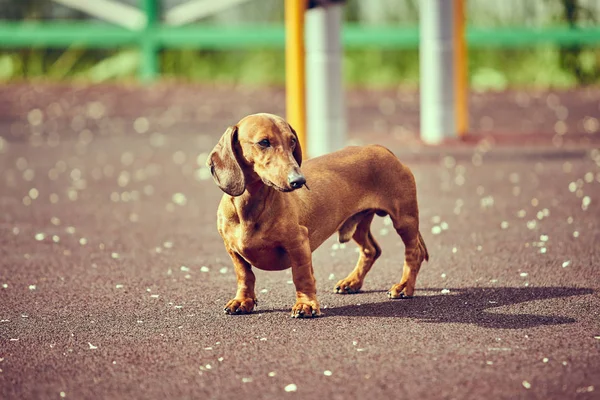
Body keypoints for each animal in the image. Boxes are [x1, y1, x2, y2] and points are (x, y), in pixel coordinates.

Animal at [206, 113, 426, 318]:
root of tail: (383, 149)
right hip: (357, 224)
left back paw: (403, 287)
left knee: (413, 253)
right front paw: (243, 301)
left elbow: (302, 276)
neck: (251, 208)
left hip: (404, 219)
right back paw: (352, 282)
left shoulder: (299, 243)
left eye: (292, 141)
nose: (299, 181)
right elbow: (245, 276)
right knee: (371, 250)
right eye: (264, 142)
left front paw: (306, 305)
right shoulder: (233, 250)